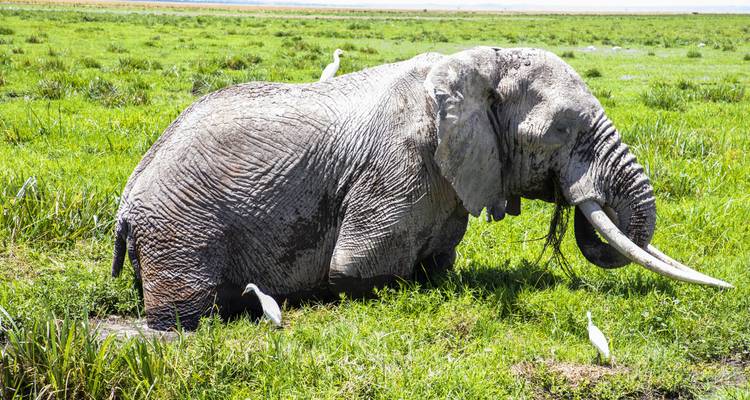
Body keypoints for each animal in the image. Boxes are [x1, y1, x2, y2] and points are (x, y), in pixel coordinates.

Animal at [112, 46, 731, 331]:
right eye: (561, 131)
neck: (476, 63)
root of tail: (128, 194)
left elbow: (439, 263)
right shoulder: (399, 169)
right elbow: (357, 271)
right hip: (181, 226)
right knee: (183, 310)